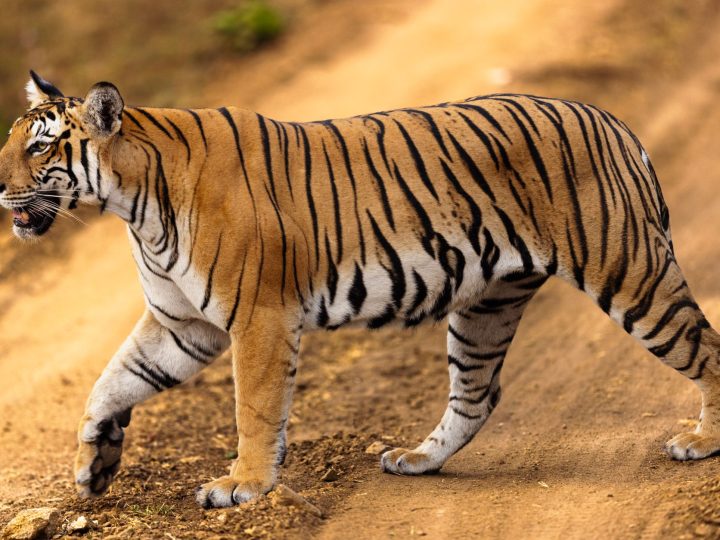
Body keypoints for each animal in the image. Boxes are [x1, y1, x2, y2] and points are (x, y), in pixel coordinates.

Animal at [0, 70, 718, 509]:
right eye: (11, 141)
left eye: (39, 149)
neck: (133, 202)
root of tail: (611, 119)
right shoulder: (183, 325)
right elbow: (111, 381)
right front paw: (94, 464)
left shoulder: (257, 317)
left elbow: (254, 410)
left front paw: (243, 485)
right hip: (487, 304)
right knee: (476, 396)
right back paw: (419, 459)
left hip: (629, 272)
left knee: (705, 347)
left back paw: (701, 443)